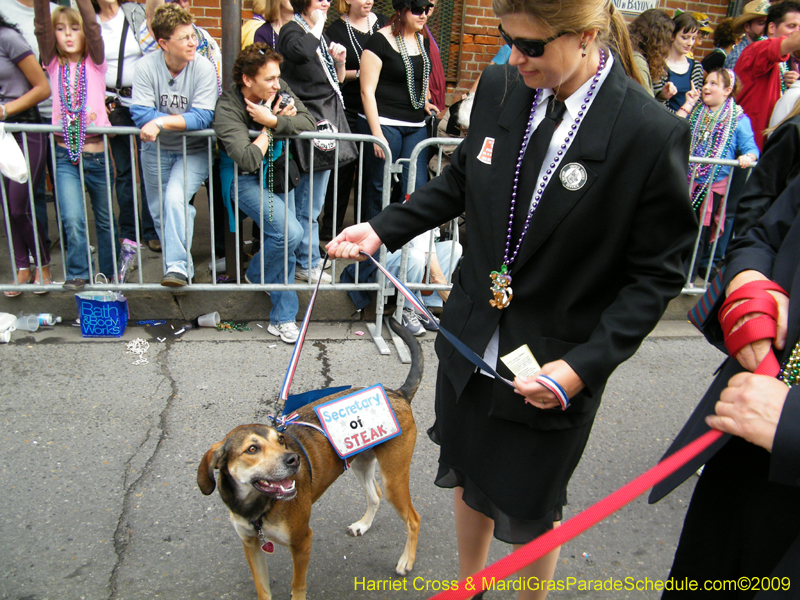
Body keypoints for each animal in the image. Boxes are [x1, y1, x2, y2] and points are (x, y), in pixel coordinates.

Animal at [198, 322, 424, 600]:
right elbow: (262, 589)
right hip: (361, 464)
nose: (294, 460)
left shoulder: (302, 542)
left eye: (280, 440)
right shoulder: (250, 545)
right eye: (252, 449)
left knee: (413, 518)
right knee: (375, 495)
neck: (256, 506)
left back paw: (406, 561)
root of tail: (397, 393)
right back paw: (363, 525)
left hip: (394, 479)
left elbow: (297, 587)